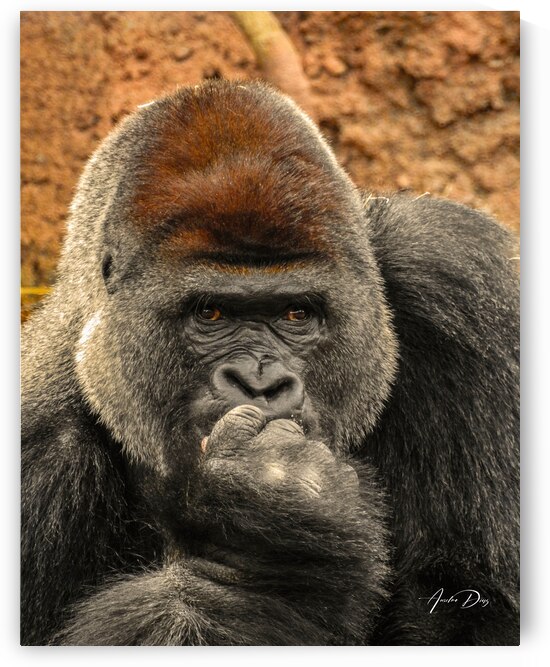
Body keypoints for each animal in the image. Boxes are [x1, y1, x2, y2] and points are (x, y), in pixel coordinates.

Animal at [21, 80, 519, 646]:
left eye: (296, 313)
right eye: (210, 313)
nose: (259, 382)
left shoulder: (456, 278)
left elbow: (477, 605)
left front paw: (273, 538)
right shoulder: (36, 448)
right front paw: (266, 556)